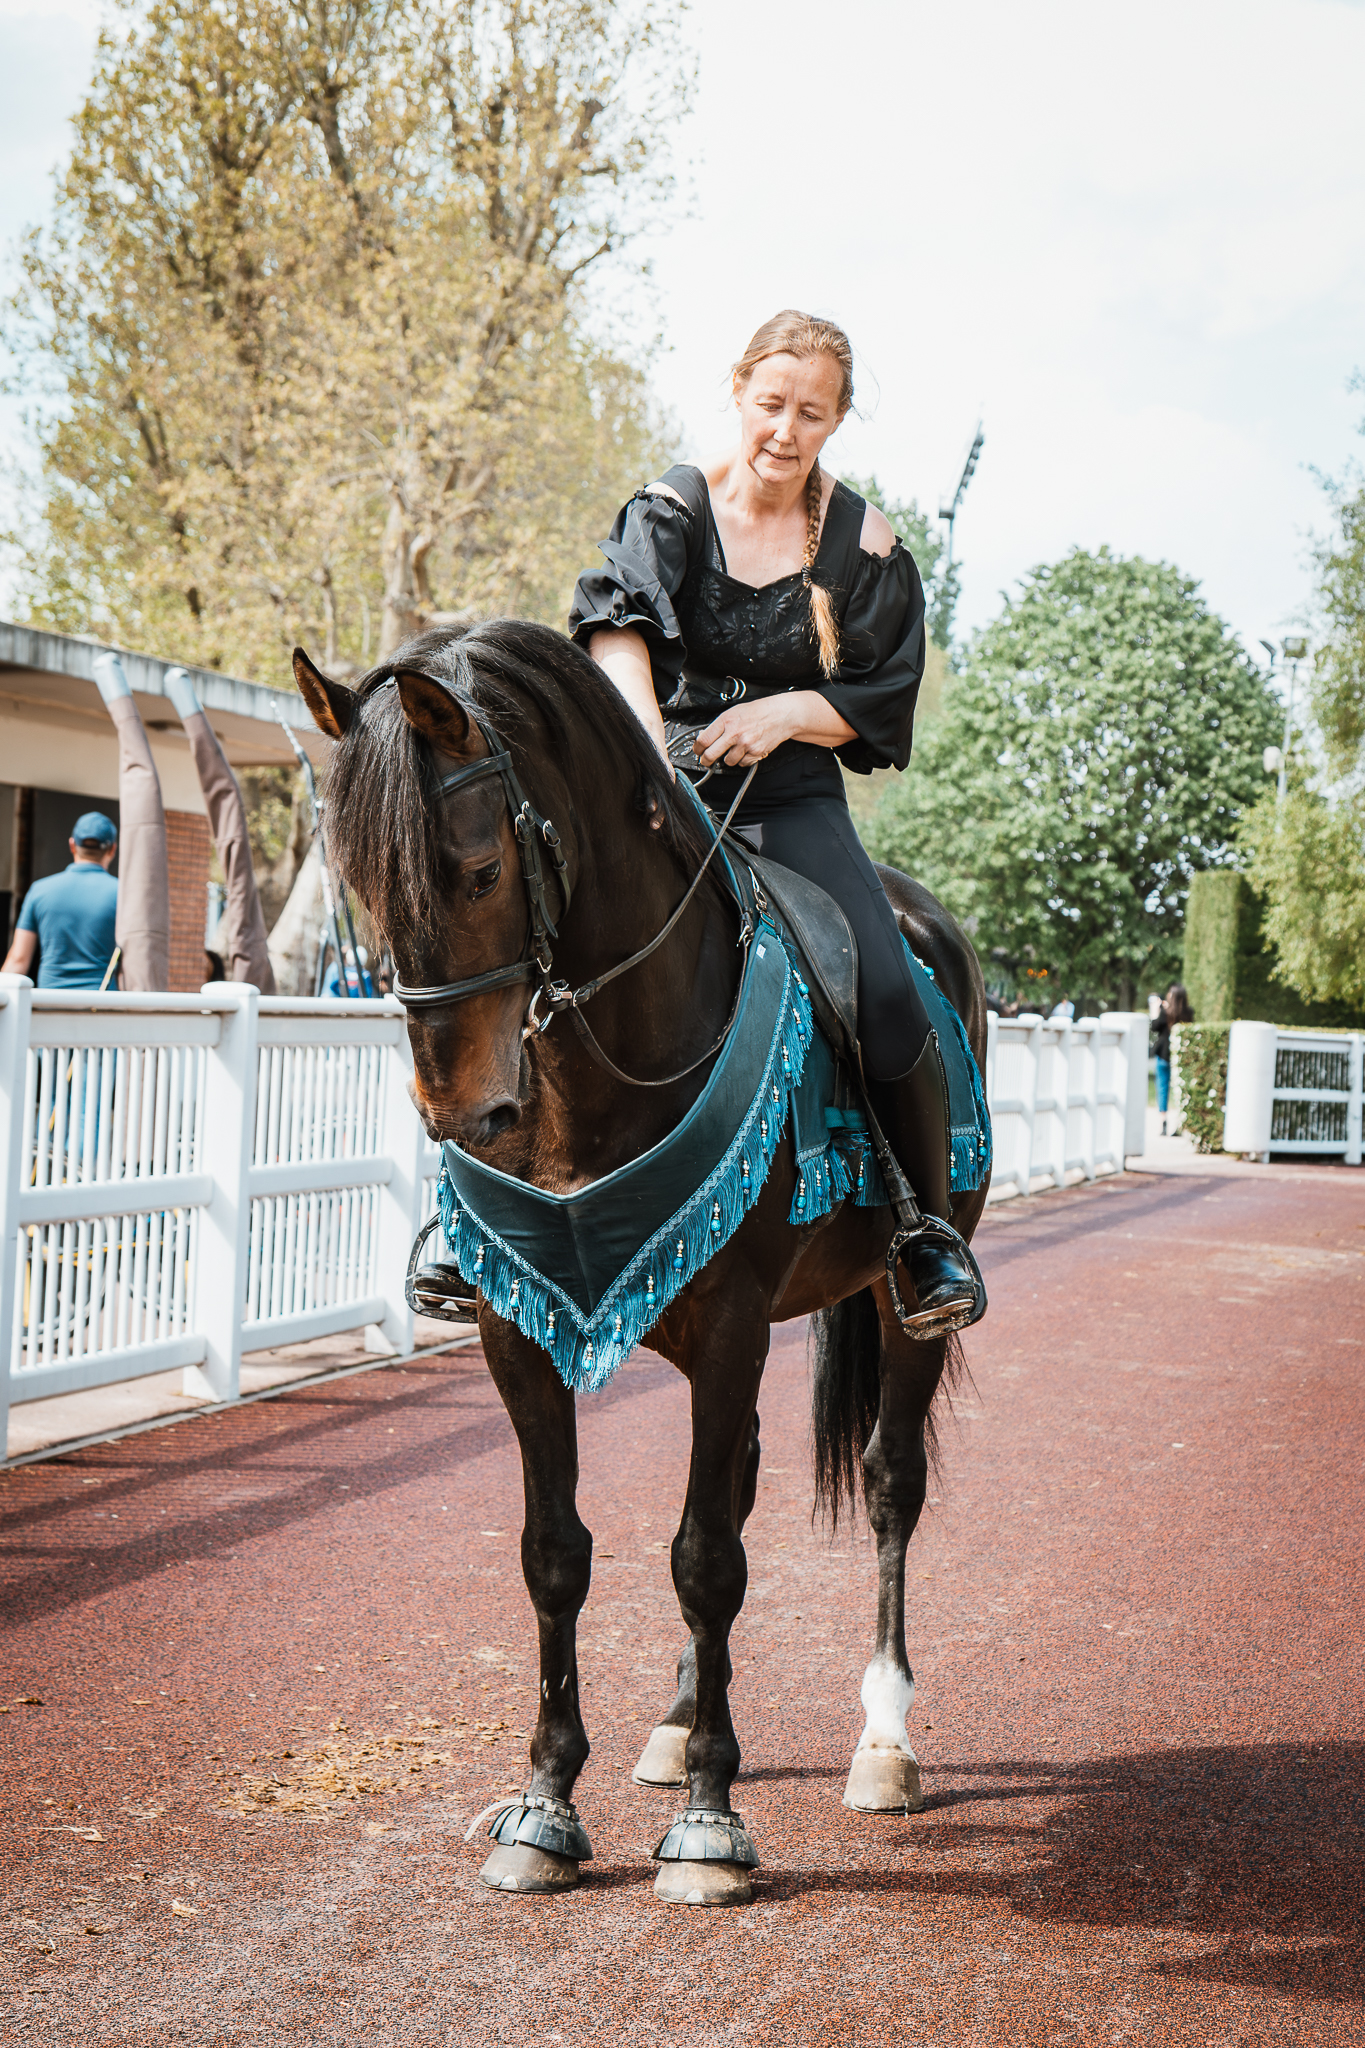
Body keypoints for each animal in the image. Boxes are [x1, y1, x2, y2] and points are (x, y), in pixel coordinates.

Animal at [295, 618, 989, 1906]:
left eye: (477, 872)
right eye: (361, 888)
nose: (466, 1116)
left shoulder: (729, 1324)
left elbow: (707, 1557)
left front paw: (712, 1825)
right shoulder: (520, 1332)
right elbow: (557, 1554)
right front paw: (543, 1804)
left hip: (895, 1299)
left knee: (887, 1483)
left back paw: (884, 1737)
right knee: (748, 1476)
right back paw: (673, 1720)